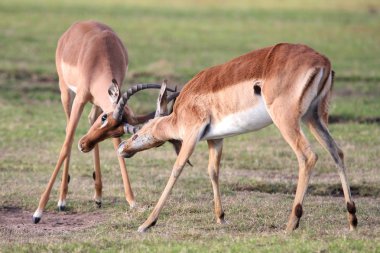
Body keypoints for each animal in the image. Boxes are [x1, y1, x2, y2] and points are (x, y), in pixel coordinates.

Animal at [32, 20, 175, 224]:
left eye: (117, 132)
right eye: (105, 117)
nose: (84, 145)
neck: (100, 54)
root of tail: (76, 26)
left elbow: (117, 147)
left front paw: (132, 201)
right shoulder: (81, 98)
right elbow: (66, 145)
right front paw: (38, 212)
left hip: (95, 102)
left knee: (88, 120)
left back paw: (98, 196)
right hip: (65, 93)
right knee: (68, 132)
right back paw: (62, 200)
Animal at [81, 42, 360, 233]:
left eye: (138, 132)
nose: (123, 149)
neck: (181, 110)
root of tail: (322, 61)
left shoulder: (192, 134)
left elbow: (176, 170)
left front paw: (147, 223)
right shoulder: (216, 139)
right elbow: (213, 172)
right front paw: (221, 218)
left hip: (287, 120)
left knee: (308, 156)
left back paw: (291, 223)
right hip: (315, 118)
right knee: (337, 152)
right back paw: (352, 219)